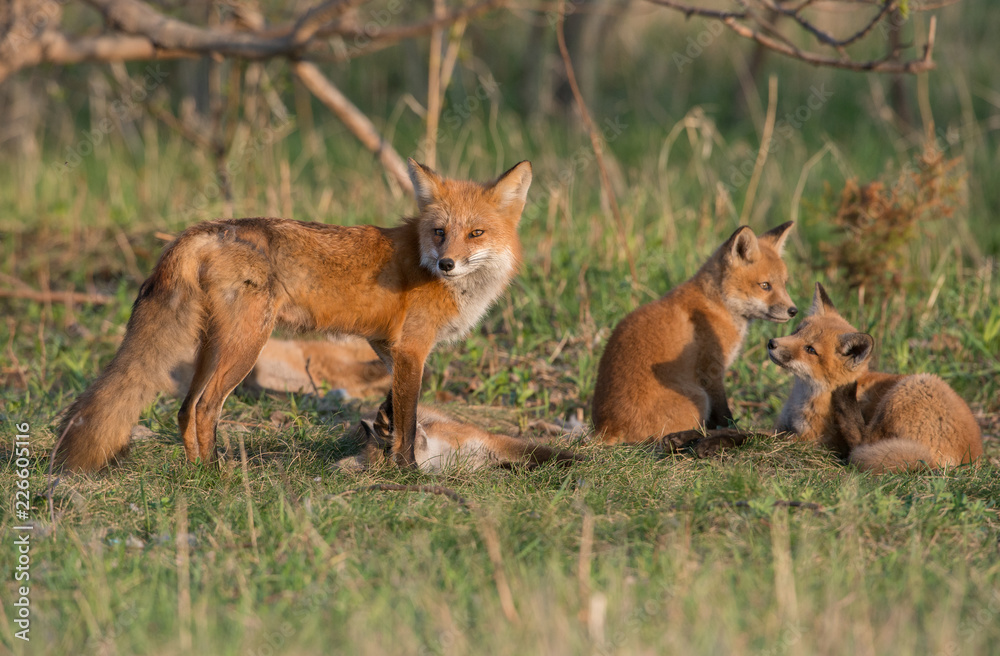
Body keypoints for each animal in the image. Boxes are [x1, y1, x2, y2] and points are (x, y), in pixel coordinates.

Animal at [56, 159, 532, 472]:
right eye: (439, 232)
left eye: (476, 233)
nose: (447, 263)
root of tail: (205, 229)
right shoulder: (412, 349)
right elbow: (410, 417)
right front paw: (408, 473)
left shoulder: (385, 346)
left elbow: (397, 413)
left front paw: (388, 444)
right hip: (246, 345)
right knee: (206, 408)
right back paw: (216, 476)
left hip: (212, 346)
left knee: (185, 408)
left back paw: (194, 472)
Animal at [592, 223, 796, 444]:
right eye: (765, 285)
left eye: (784, 284)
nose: (793, 310)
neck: (718, 305)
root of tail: (606, 427)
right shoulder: (711, 372)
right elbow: (724, 415)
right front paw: (732, 430)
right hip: (699, 398)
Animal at [768, 282, 980, 472]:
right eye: (796, 331)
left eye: (810, 350)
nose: (771, 343)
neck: (805, 396)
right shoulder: (783, 426)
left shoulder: (811, 438)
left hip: (911, 387)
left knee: (863, 443)